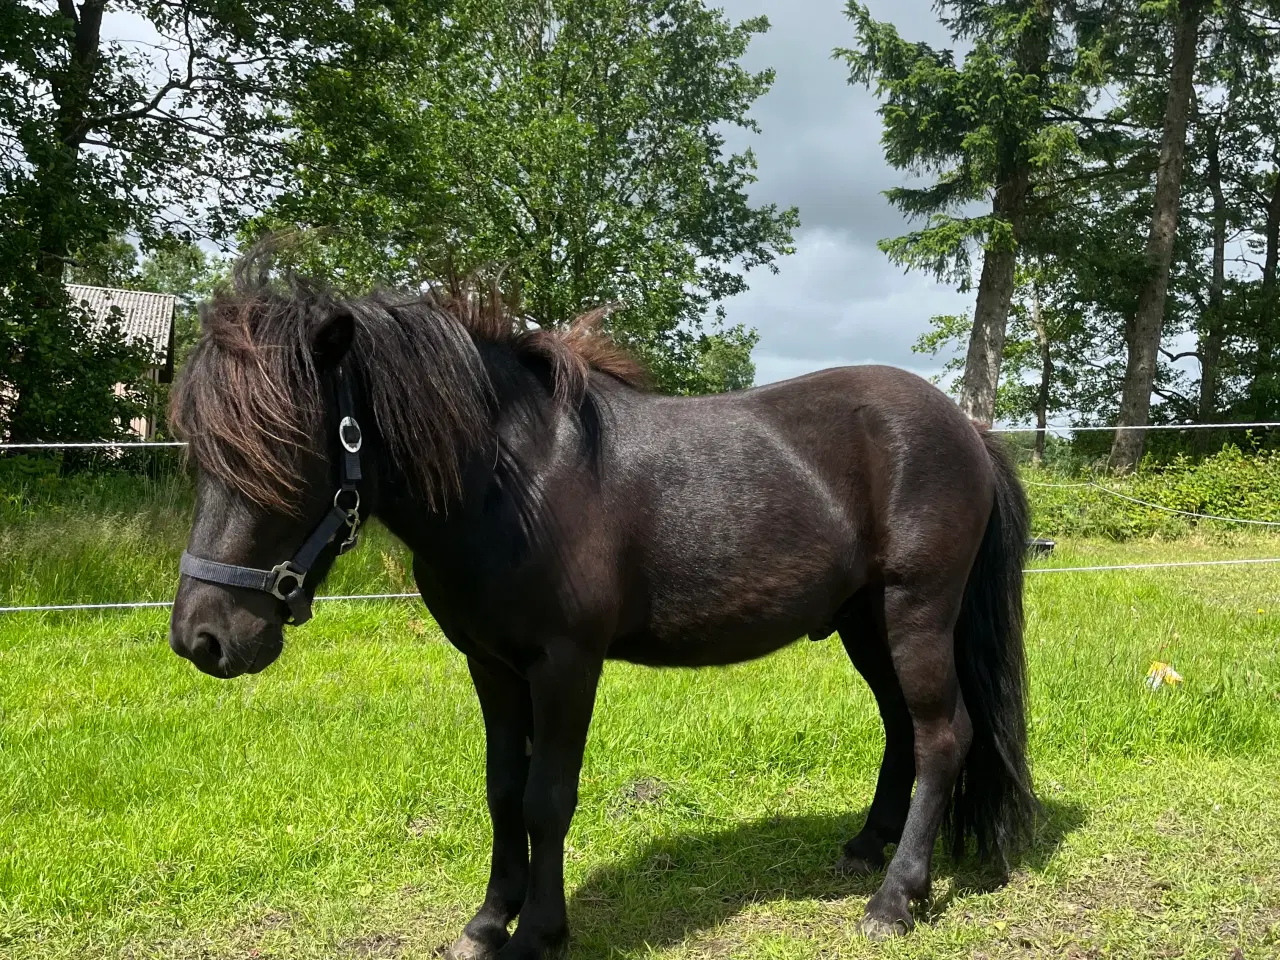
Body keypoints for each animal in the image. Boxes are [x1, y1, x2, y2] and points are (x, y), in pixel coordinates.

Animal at [168, 269, 1036, 959]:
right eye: (201, 454)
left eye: (287, 450)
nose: (202, 638)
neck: (515, 483)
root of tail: (969, 430)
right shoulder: (491, 664)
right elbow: (502, 789)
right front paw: (489, 922)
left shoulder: (565, 664)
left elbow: (547, 796)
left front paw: (538, 933)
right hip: (865, 623)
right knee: (901, 729)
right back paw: (866, 848)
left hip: (914, 612)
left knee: (942, 736)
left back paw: (895, 900)